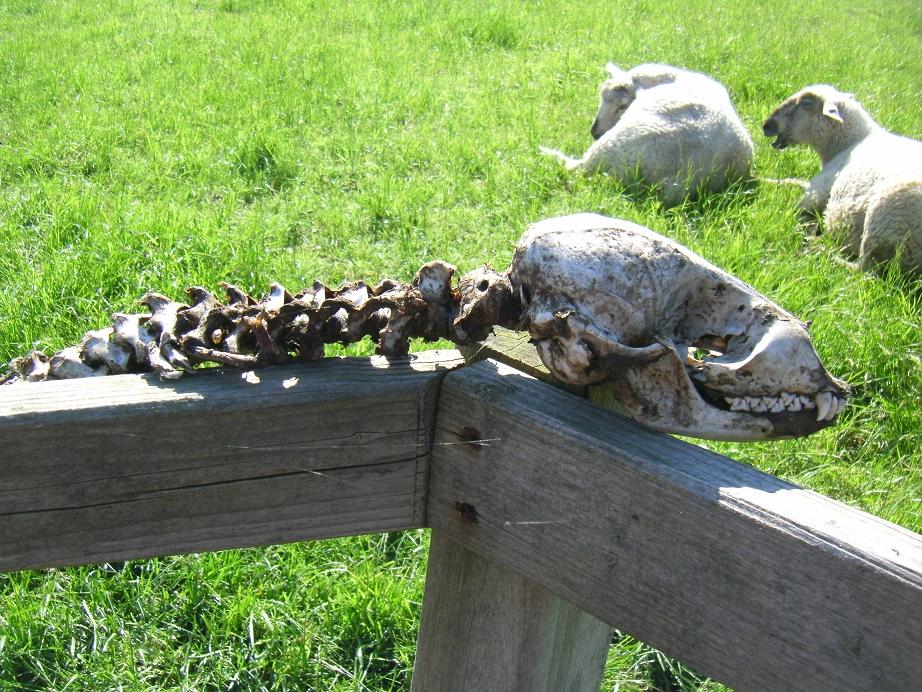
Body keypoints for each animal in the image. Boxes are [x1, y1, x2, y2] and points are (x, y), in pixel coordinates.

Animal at [762, 84, 922, 275]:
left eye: (805, 103)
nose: (766, 125)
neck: (848, 142)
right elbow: (791, 180)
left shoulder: (818, 191)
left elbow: (797, 205)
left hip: (887, 218)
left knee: (864, 268)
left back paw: (818, 247)